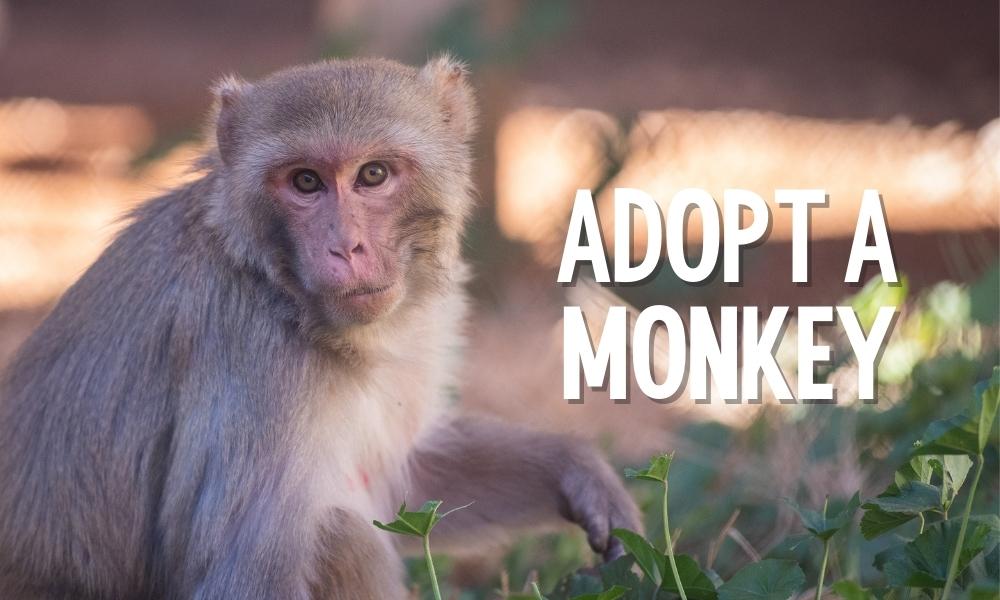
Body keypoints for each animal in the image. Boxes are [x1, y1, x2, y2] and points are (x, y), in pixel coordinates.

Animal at [0, 56, 640, 599]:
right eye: (306, 182)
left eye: (373, 174)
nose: (345, 247)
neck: (276, 286)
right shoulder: (256, 359)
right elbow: (246, 576)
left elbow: (405, 481)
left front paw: (578, 472)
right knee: (342, 537)